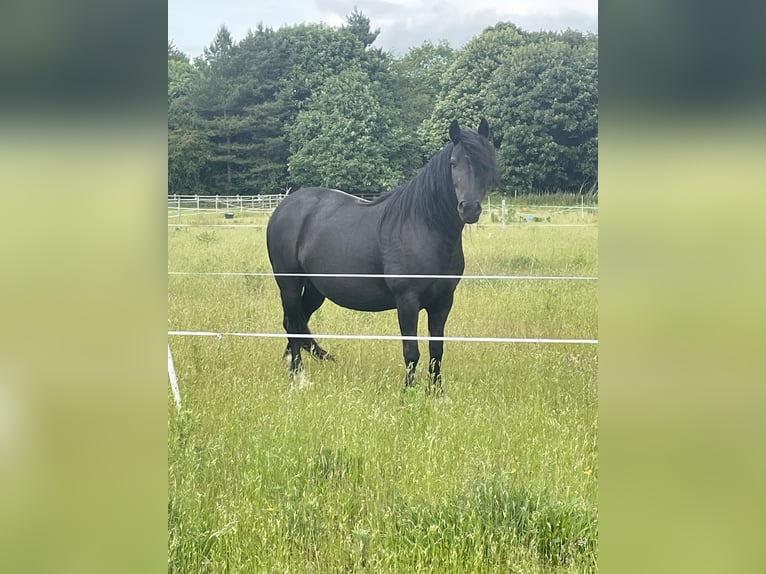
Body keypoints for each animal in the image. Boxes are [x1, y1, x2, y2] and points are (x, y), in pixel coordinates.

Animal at [266, 119, 499, 390]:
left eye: (485, 163)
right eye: (453, 162)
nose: (469, 209)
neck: (423, 227)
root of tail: (284, 206)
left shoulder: (443, 302)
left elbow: (436, 350)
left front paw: (437, 393)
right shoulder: (407, 301)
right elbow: (411, 351)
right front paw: (408, 393)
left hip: (315, 290)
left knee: (297, 321)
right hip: (289, 284)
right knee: (293, 323)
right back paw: (299, 377)